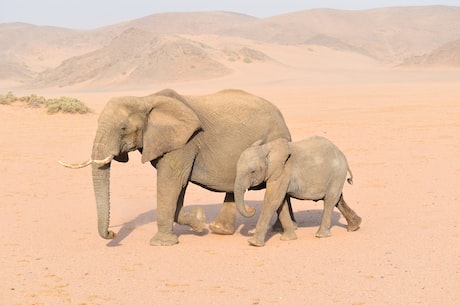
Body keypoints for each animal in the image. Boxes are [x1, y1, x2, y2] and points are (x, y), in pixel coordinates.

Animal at [60, 88, 292, 245]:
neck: (145, 99)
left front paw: (161, 243)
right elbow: (177, 189)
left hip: (275, 139)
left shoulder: (185, 142)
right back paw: (220, 230)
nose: (112, 233)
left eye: (123, 127)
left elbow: (170, 182)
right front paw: (198, 221)